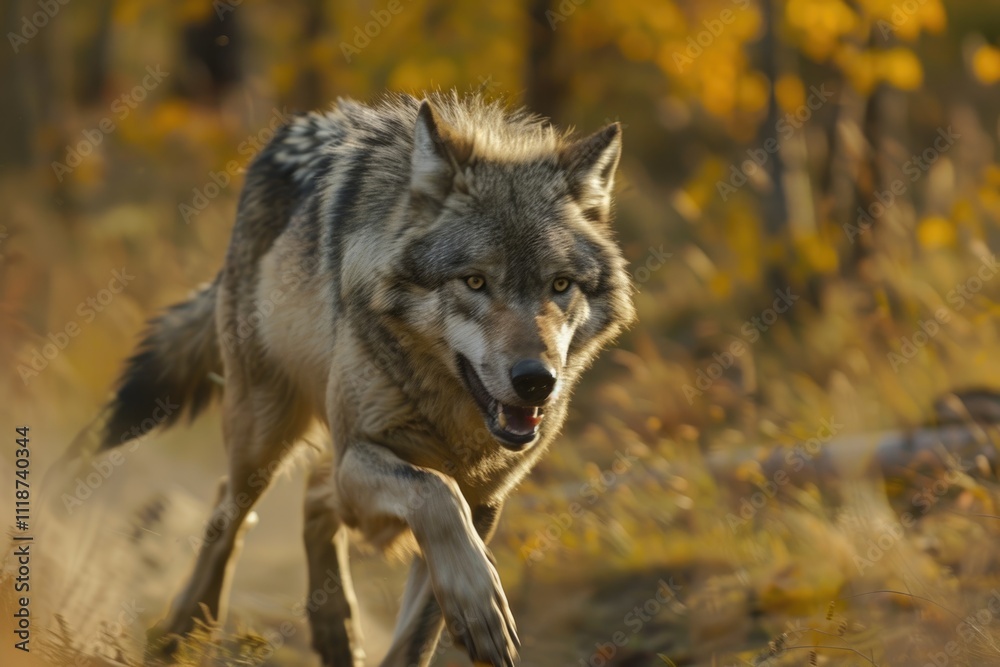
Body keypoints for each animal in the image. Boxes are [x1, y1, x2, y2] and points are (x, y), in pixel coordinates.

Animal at [94, 91, 635, 666]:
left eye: (560, 285)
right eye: (474, 281)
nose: (536, 381)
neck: (451, 419)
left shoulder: (484, 504)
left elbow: (419, 633)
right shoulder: (364, 458)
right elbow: (435, 493)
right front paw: (481, 602)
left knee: (312, 495)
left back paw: (334, 629)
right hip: (265, 434)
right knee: (229, 511)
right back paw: (181, 630)